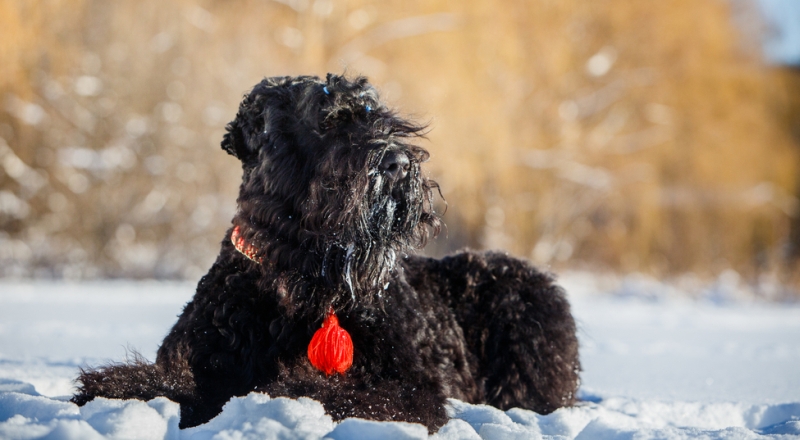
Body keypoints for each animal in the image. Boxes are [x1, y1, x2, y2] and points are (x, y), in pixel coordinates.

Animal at [72, 74, 580, 432]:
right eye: (326, 121)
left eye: (379, 116)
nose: (397, 163)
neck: (298, 287)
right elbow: (158, 383)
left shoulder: (407, 389)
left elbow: (318, 391)